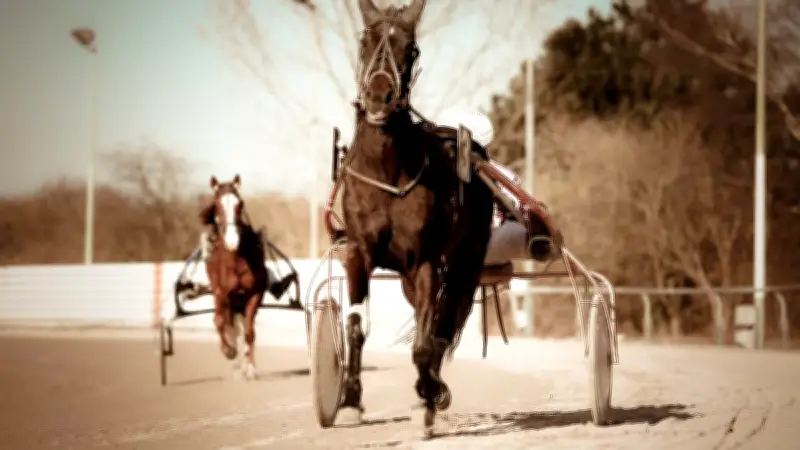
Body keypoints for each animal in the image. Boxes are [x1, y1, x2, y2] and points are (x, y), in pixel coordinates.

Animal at [203, 174, 269, 380]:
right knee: (226, 324)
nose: (232, 240)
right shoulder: (222, 294)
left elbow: (249, 332)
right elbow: (221, 323)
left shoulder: (254, 294)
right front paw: (229, 351)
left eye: (239, 204)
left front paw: (251, 368)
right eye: (217, 205)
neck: (237, 259)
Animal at [338, 0, 496, 435]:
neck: (386, 171)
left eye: (410, 49)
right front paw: (349, 401)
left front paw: (427, 397)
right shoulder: (358, 252)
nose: (379, 95)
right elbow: (355, 327)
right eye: (366, 41)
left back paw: (434, 388)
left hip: (466, 259)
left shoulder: (425, 261)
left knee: (445, 318)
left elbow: (426, 342)